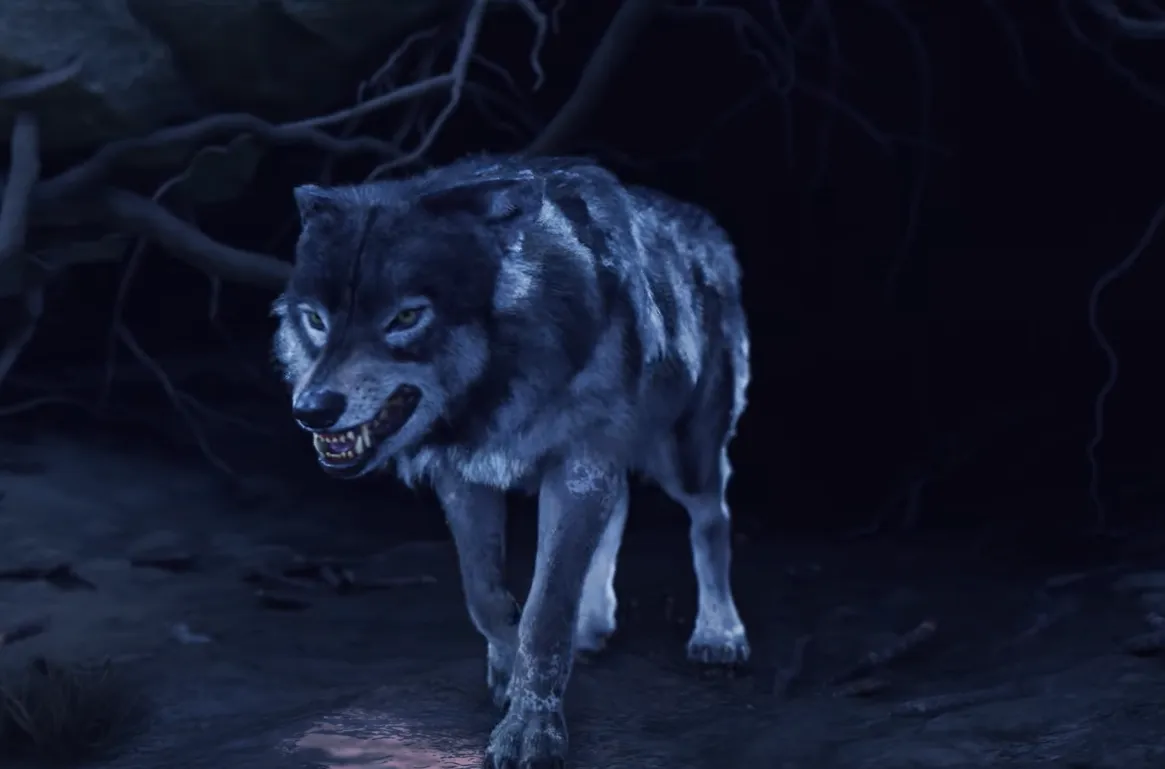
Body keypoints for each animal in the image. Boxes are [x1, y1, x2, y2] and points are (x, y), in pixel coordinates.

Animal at [271, 155, 750, 769]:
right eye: (315, 320)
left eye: (405, 318)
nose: (312, 410)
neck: (505, 375)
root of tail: (701, 223)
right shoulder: (465, 475)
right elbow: (488, 597)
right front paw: (508, 672)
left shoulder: (578, 464)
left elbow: (545, 617)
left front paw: (531, 732)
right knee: (620, 508)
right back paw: (593, 624)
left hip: (683, 452)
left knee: (712, 518)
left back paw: (719, 634)